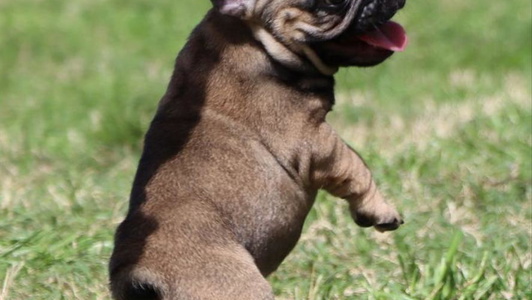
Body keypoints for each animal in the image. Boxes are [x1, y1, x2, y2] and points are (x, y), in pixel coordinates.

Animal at [109, 0, 408, 298]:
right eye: (330, 3)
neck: (254, 40)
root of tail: (138, 273)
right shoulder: (314, 138)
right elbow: (356, 164)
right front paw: (380, 210)